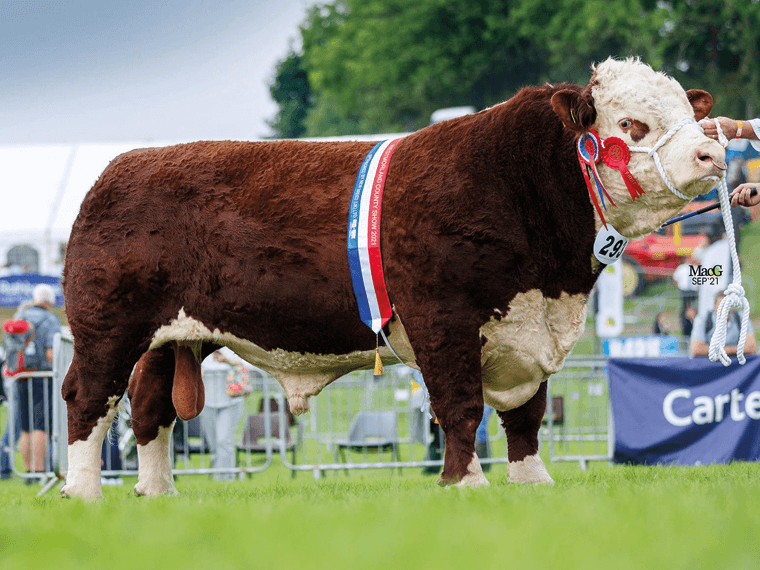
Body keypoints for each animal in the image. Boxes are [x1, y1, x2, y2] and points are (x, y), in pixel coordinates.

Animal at [59, 55, 724, 494]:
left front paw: (533, 483)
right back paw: (84, 492)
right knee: (88, 398)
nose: (712, 152)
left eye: (684, 113)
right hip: (107, 328)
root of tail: (122, 166)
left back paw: (158, 494)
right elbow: (459, 405)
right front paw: (465, 484)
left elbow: (526, 414)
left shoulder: (531, 327)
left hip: (173, 338)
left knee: (149, 405)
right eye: (631, 124)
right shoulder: (442, 318)